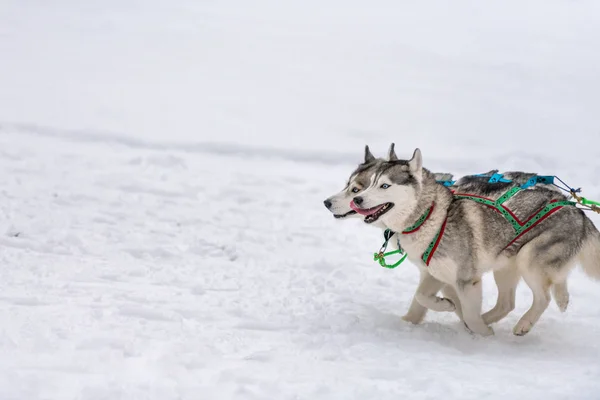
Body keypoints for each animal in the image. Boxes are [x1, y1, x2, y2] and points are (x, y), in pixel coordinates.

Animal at [344, 145, 600, 336]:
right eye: (368, 184)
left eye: (384, 185)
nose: (357, 199)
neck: (433, 217)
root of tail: (576, 209)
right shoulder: (434, 273)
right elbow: (421, 297)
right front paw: (423, 315)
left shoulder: (467, 279)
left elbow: (465, 310)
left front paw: (481, 334)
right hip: (506, 266)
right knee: (511, 301)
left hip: (529, 260)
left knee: (543, 297)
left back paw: (521, 324)